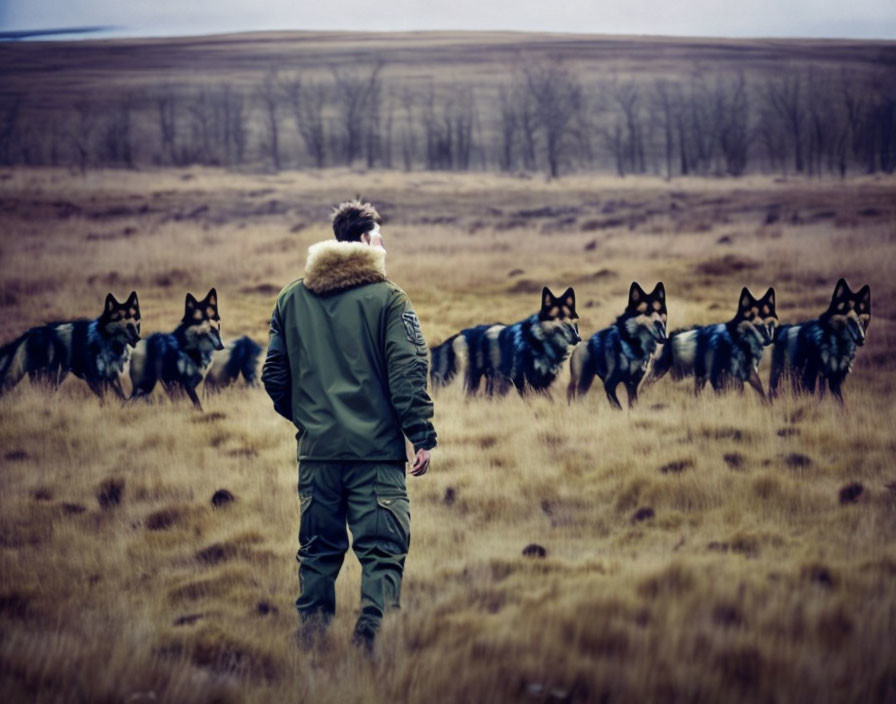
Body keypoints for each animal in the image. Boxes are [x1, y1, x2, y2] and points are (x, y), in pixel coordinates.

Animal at [0, 292, 140, 398]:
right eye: (123, 317)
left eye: (135, 317)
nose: (138, 337)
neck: (106, 340)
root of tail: (31, 332)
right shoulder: (94, 378)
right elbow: (108, 397)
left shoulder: (111, 375)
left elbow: (120, 395)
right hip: (50, 376)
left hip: (54, 376)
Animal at [428, 286, 580, 396]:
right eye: (559, 318)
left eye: (571, 318)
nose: (578, 338)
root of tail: (460, 335)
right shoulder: (523, 383)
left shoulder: (540, 383)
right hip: (473, 381)